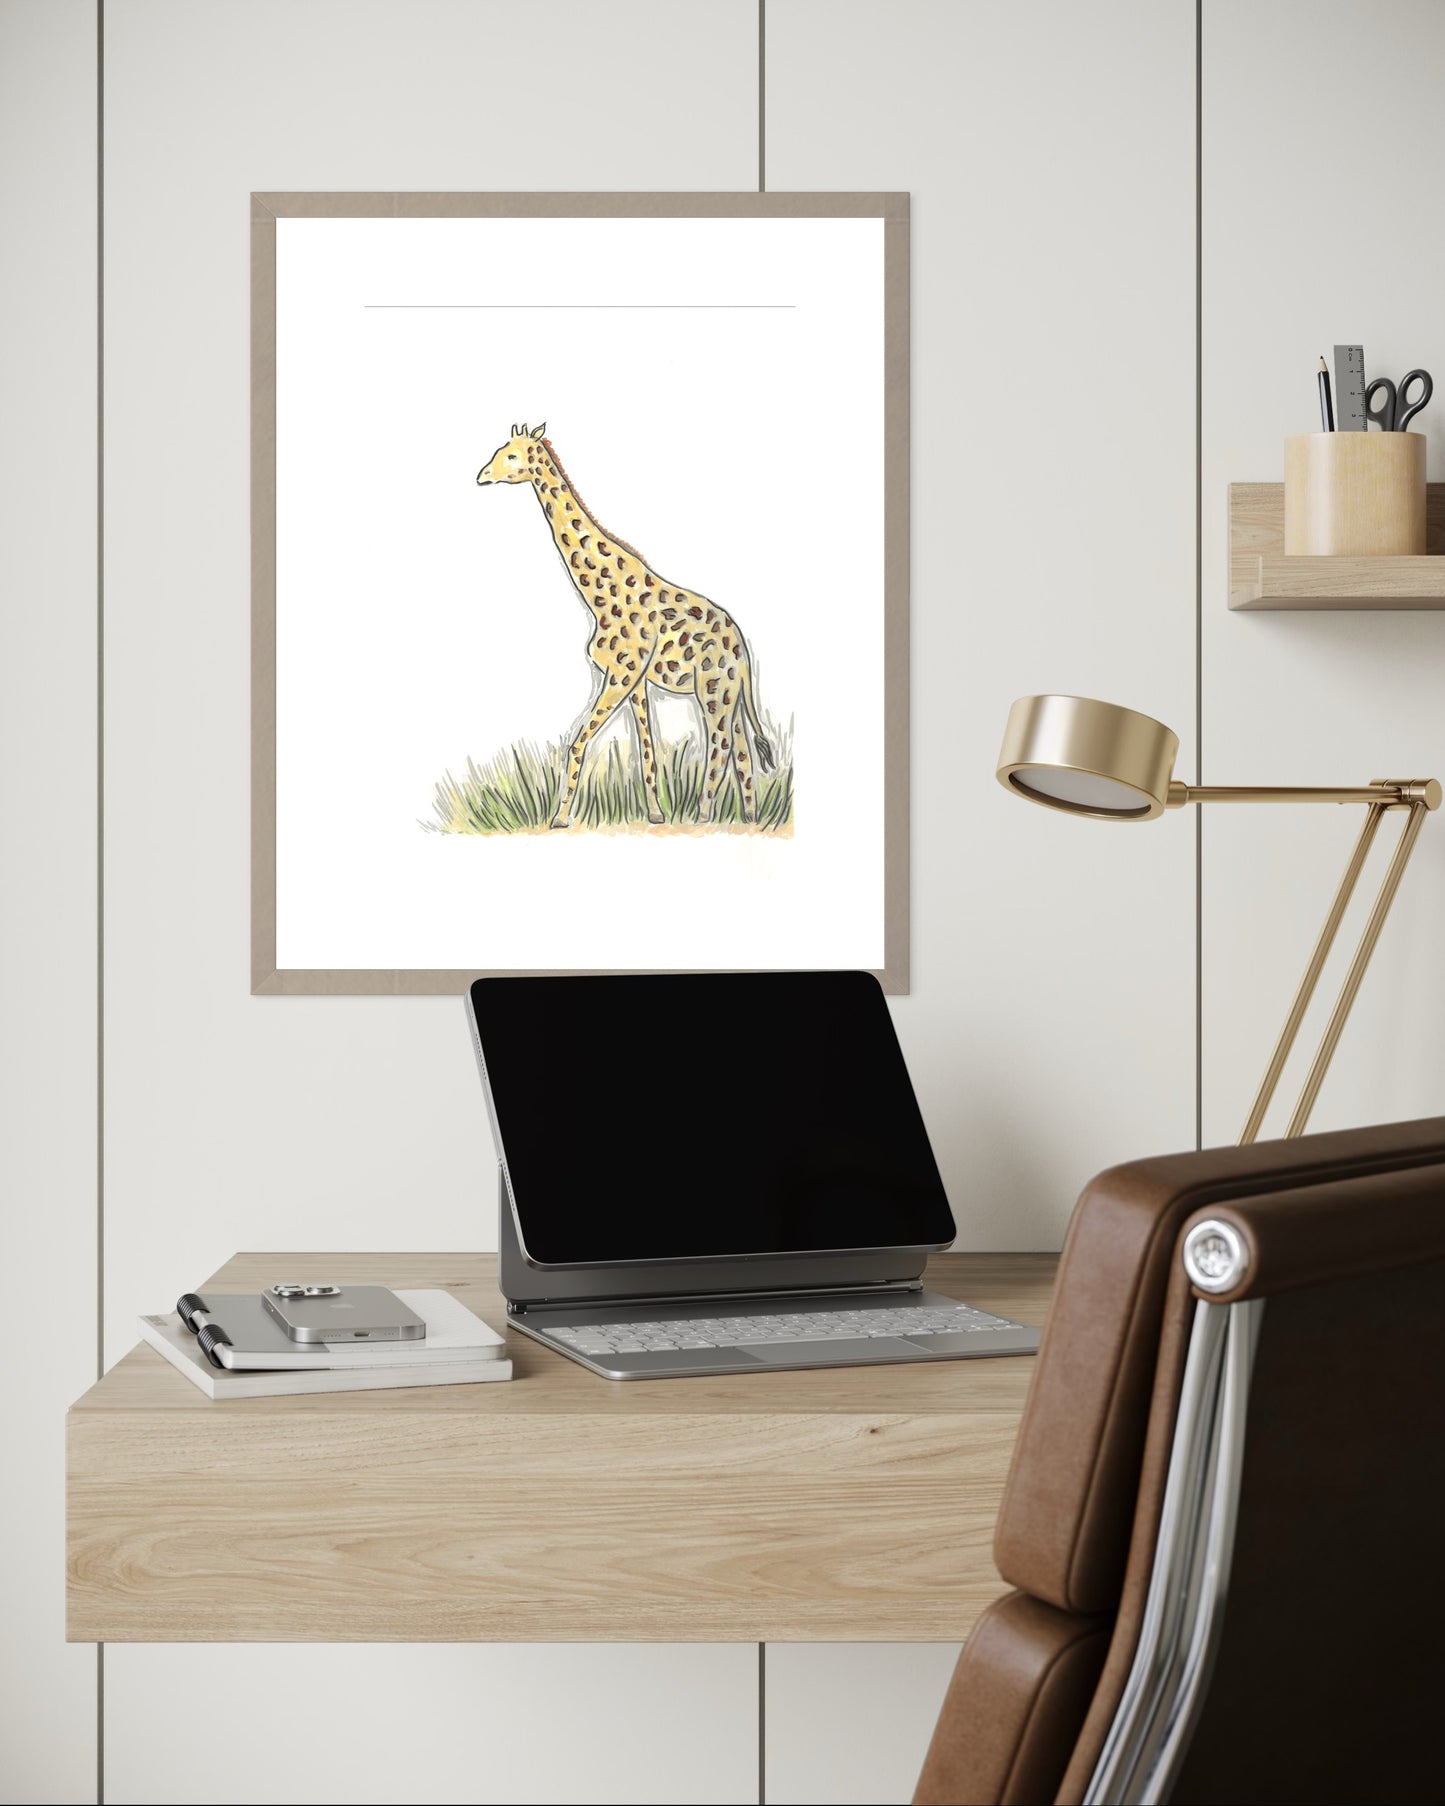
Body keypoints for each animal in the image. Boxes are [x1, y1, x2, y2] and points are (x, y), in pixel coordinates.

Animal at [477, 423, 774, 830]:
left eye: (511, 455)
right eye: (499, 450)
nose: (481, 476)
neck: (598, 593)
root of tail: (742, 648)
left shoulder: (620, 674)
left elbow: (577, 744)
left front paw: (560, 818)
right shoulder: (635, 683)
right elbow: (647, 751)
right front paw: (656, 814)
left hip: (712, 690)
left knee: (721, 747)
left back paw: (702, 818)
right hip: (730, 694)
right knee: (743, 754)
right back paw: (749, 819)